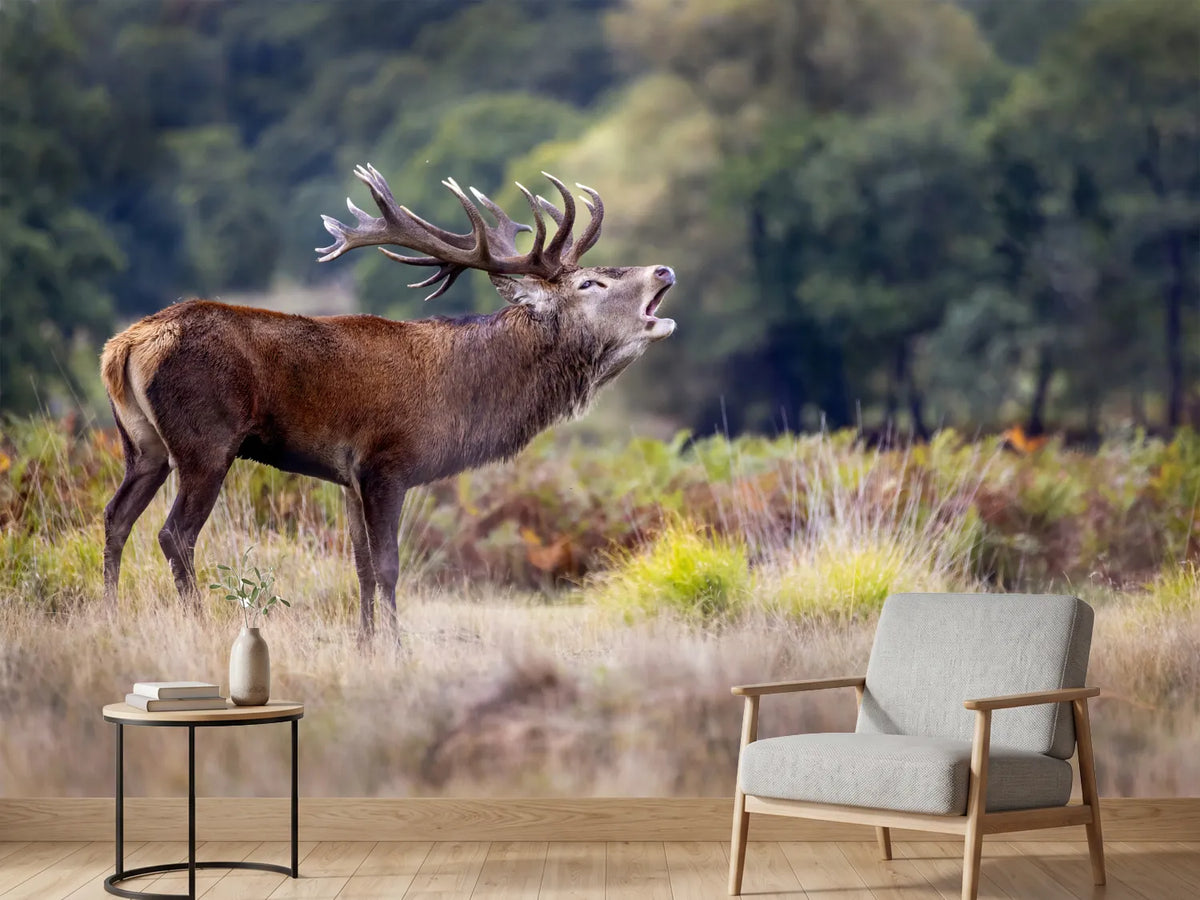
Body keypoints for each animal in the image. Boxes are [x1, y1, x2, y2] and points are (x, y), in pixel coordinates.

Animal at [100, 165, 676, 637]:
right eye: (589, 283)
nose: (664, 270)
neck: (464, 397)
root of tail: (124, 346)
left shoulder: (347, 476)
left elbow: (359, 567)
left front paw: (365, 643)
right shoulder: (386, 464)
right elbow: (388, 566)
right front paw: (397, 647)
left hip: (143, 446)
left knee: (115, 516)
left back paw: (110, 615)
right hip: (206, 442)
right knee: (174, 534)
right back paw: (196, 622)